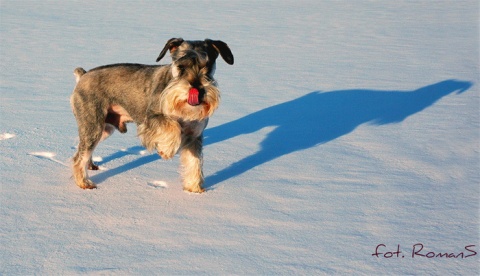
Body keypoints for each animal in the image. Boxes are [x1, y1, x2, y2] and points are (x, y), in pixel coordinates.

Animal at [70, 37, 233, 193]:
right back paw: (84, 182)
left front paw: (194, 189)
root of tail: (83, 76)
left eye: (208, 66)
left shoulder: (194, 135)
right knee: (78, 157)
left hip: (104, 128)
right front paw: (166, 150)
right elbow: (172, 126)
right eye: (181, 66)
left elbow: (195, 162)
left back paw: (90, 165)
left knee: (82, 147)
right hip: (93, 125)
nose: (198, 91)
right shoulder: (150, 119)